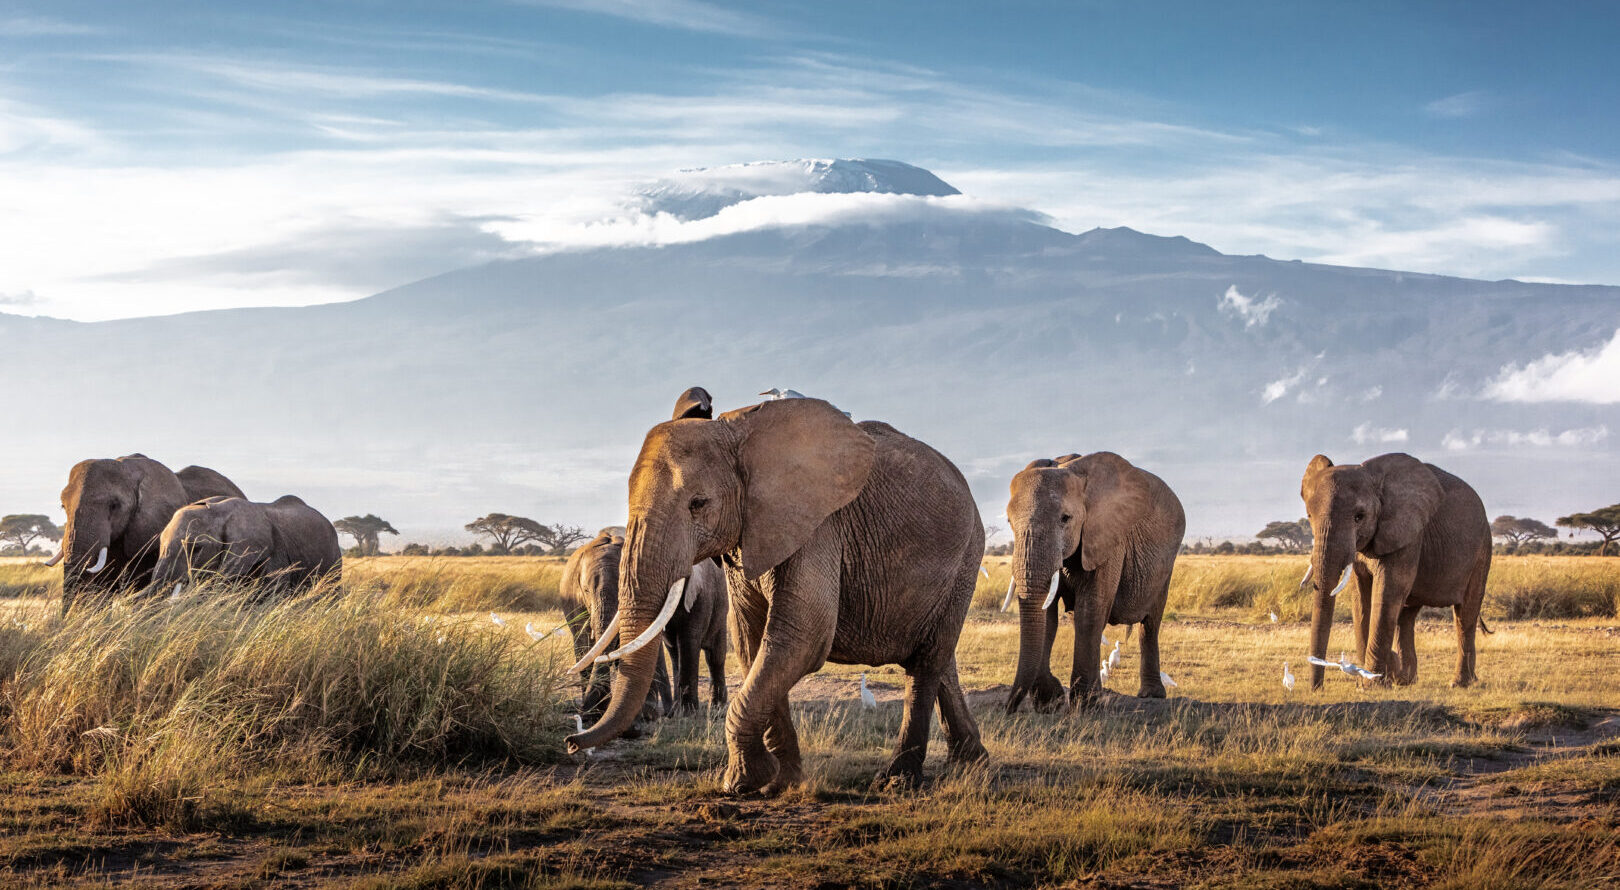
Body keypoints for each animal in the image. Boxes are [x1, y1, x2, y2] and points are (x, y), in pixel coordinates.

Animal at [566, 394, 987, 795]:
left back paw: (899, 781)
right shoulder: (748, 535)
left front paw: (741, 783)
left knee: (926, 663)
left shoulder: (817, 527)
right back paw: (971, 761)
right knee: (938, 657)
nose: (571, 741)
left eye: (698, 504)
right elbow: (754, 641)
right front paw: (781, 781)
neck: (737, 432)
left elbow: (802, 636)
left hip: (967, 554)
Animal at [1004, 452, 1186, 713]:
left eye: (1065, 518)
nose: (1007, 709)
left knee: (1150, 624)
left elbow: (1090, 610)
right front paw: (1051, 702)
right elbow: (1048, 615)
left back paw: (1151, 695)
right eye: (1009, 521)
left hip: (1166, 564)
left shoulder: (1108, 539)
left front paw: (1087, 703)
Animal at [1300, 453, 1491, 690]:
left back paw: (1459, 683)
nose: (1317, 689)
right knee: (1406, 616)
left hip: (1482, 550)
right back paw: (1404, 680)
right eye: (1309, 516)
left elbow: (1387, 592)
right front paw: (1371, 680)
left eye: (1359, 516)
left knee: (1465, 615)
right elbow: (1361, 598)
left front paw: (1371, 685)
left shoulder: (1408, 535)